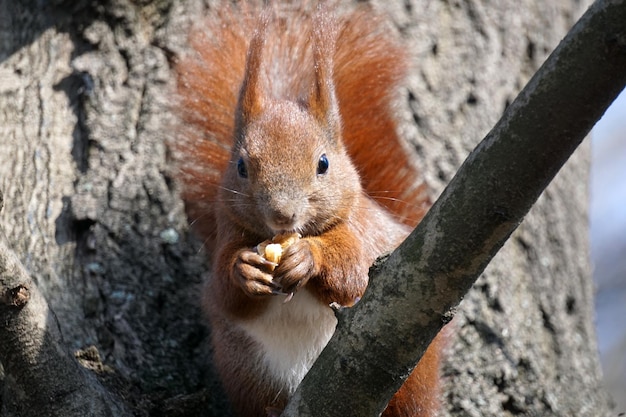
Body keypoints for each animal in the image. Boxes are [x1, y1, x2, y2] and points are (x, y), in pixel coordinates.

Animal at [173, 3, 442, 416]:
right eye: (241, 167)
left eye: (324, 163)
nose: (283, 216)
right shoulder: (229, 233)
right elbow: (225, 291)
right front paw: (244, 268)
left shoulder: (362, 234)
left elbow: (352, 274)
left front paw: (307, 257)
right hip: (245, 369)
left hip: (413, 380)